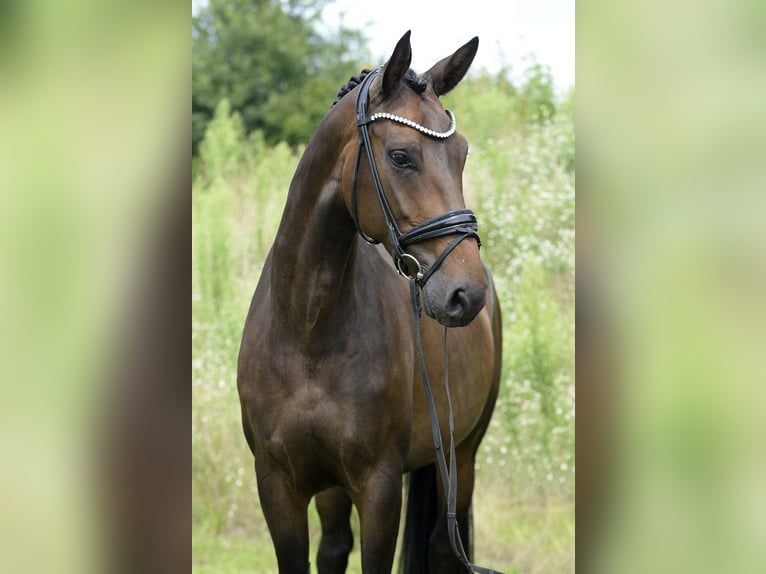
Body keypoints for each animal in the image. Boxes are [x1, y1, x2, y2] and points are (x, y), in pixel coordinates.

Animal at [238, 31, 504, 574]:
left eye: (462, 154)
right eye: (401, 156)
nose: (467, 294)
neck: (308, 332)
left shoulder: (379, 489)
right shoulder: (278, 487)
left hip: (461, 455)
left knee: (443, 546)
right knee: (335, 546)